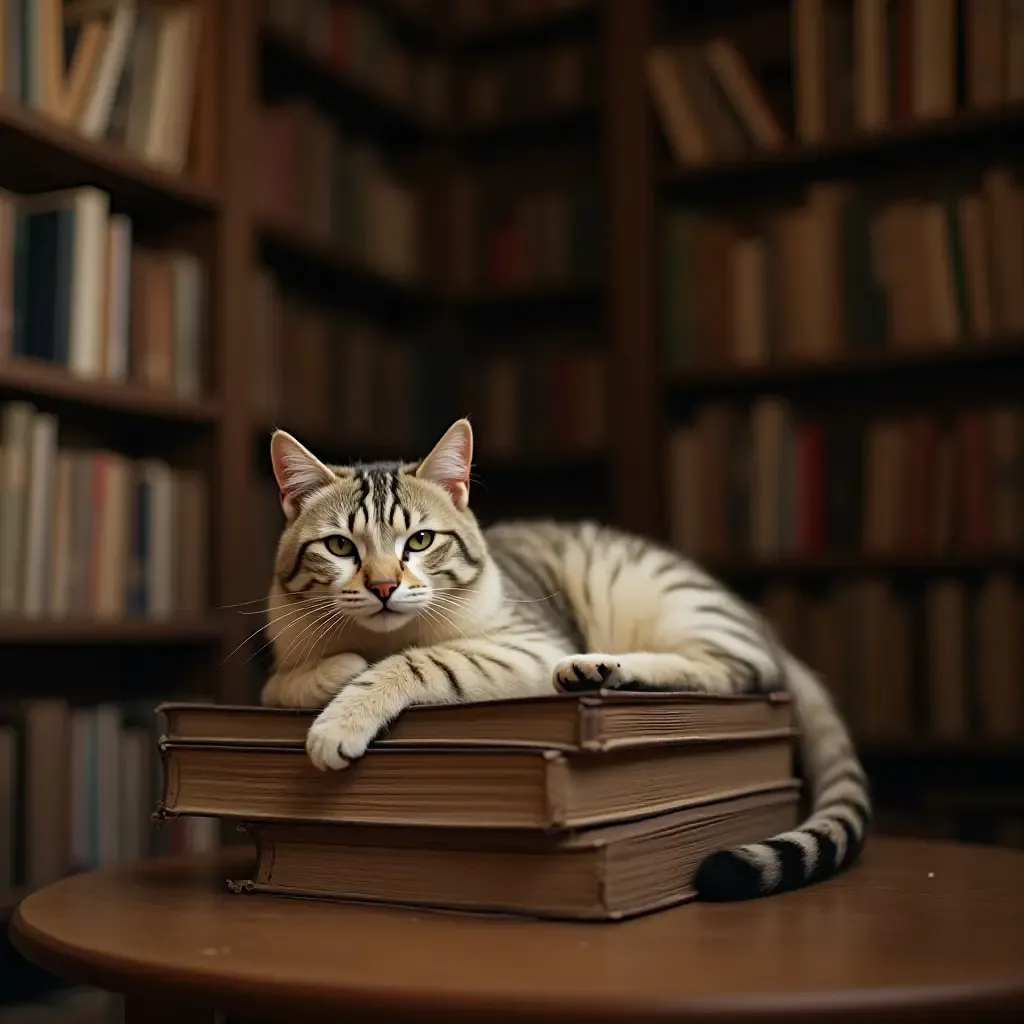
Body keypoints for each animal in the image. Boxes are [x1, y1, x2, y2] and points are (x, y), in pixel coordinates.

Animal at [260, 415, 868, 897]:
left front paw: (342, 716)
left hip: (675, 607)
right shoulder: (284, 650)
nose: (384, 587)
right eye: (340, 547)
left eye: (420, 542)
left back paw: (598, 667)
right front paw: (335, 670)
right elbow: (278, 685)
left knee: (734, 672)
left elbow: (421, 662)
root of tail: (765, 626)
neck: (380, 636)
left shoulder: (524, 645)